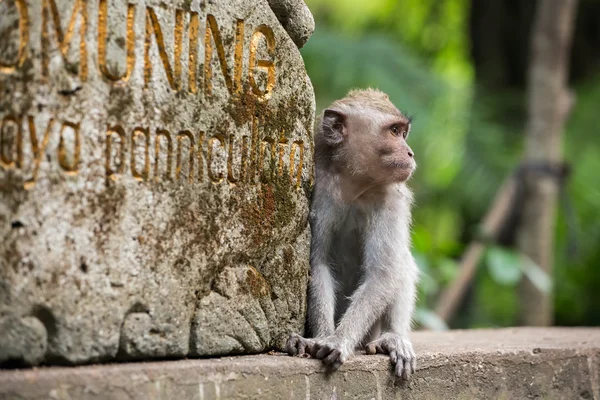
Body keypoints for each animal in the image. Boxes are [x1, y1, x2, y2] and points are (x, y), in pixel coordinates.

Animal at [284, 87, 418, 378]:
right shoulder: (321, 191)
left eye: (403, 133)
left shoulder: (391, 199)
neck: (356, 184)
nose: (410, 153)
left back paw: (393, 337)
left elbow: (384, 273)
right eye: (394, 131)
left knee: (401, 262)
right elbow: (318, 264)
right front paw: (320, 338)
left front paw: (339, 340)